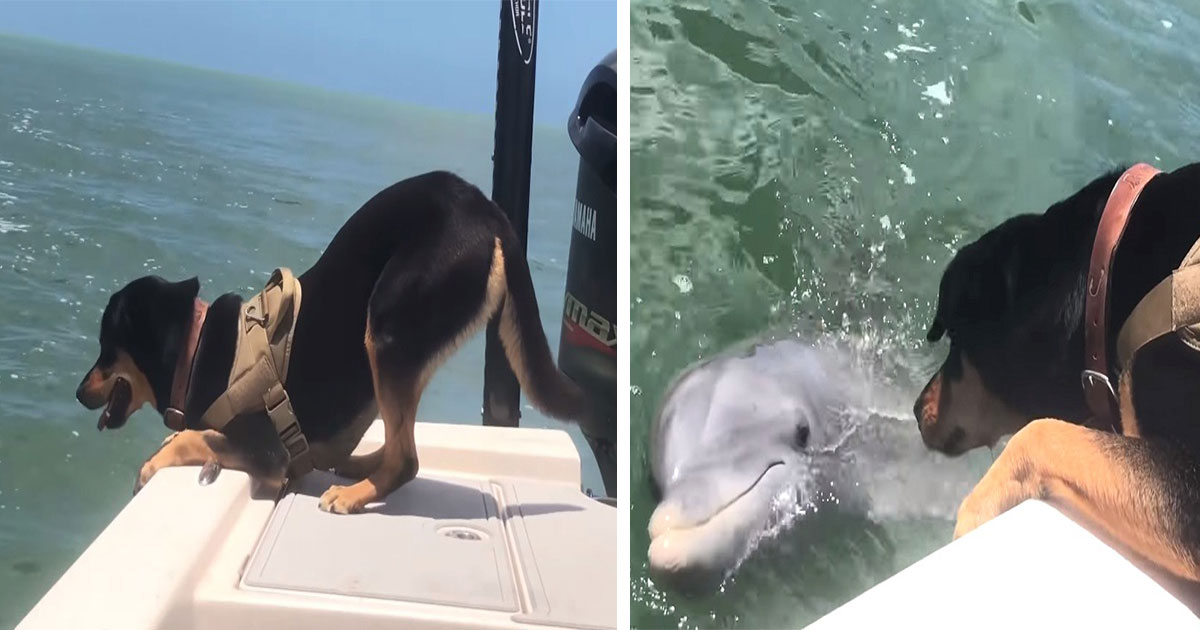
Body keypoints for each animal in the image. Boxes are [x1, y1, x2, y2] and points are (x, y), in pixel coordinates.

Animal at [75, 170, 590, 511]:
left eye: (105, 347)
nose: (79, 393)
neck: (197, 351)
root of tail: (487, 210)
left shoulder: (268, 454)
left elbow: (193, 439)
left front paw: (151, 464)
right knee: (398, 443)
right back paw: (360, 468)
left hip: (388, 328)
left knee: (408, 460)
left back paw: (353, 495)